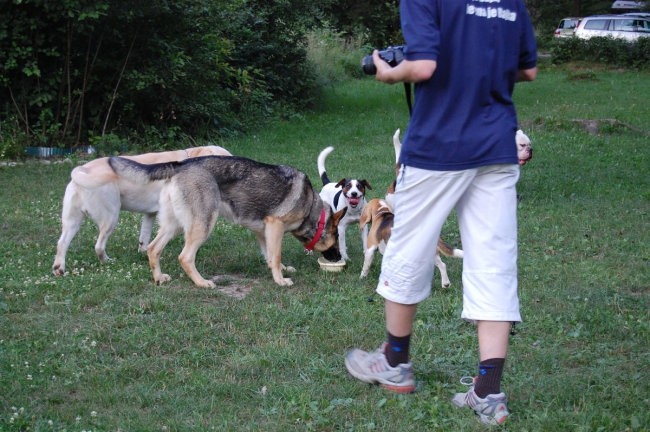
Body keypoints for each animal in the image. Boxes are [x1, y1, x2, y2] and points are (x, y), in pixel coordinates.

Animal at [53, 144, 230, 274]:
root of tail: (82, 171)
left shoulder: (150, 214)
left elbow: (145, 238)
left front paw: (145, 254)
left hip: (72, 222)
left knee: (62, 243)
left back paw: (59, 269)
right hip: (111, 218)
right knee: (98, 246)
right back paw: (107, 261)